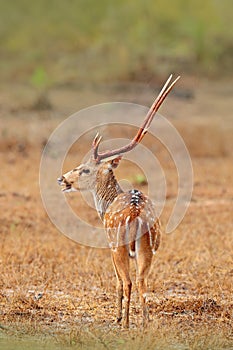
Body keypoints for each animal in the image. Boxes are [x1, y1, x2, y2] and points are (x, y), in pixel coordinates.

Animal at [57, 74, 179, 328]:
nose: (62, 179)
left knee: (128, 281)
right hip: (148, 247)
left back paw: (124, 323)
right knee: (142, 280)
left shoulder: (108, 244)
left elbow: (117, 281)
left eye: (84, 169)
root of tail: (135, 214)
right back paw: (145, 323)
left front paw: (118, 316)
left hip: (118, 245)